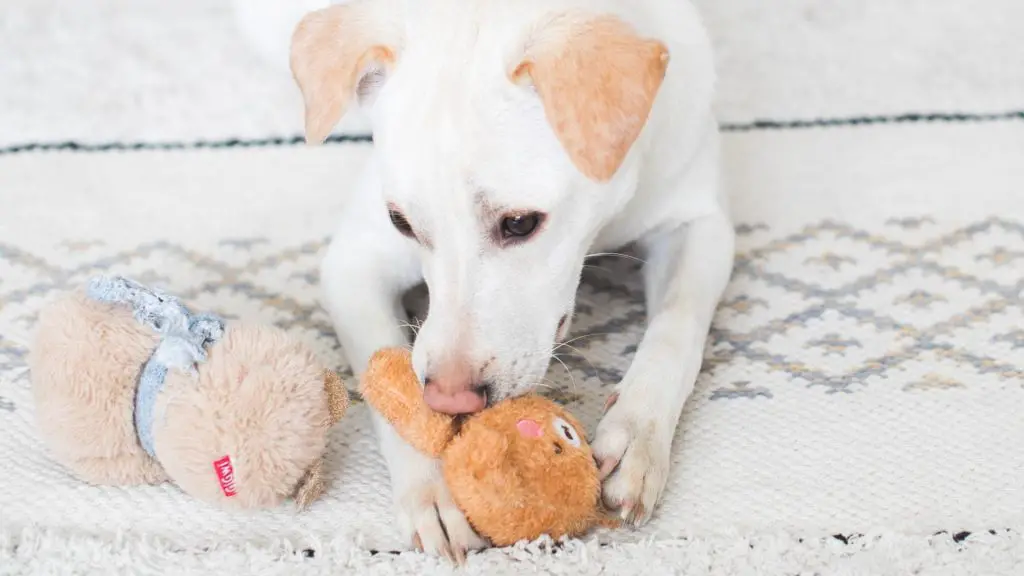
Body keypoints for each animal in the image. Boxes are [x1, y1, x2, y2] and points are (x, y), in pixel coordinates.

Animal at [260, 0, 737, 557]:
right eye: (401, 222)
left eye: (520, 223)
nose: (451, 398)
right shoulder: (353, 263)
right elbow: (388, 382)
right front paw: (433, 488)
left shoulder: (699, 223)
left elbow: (676, 328)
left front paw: (637, 434)